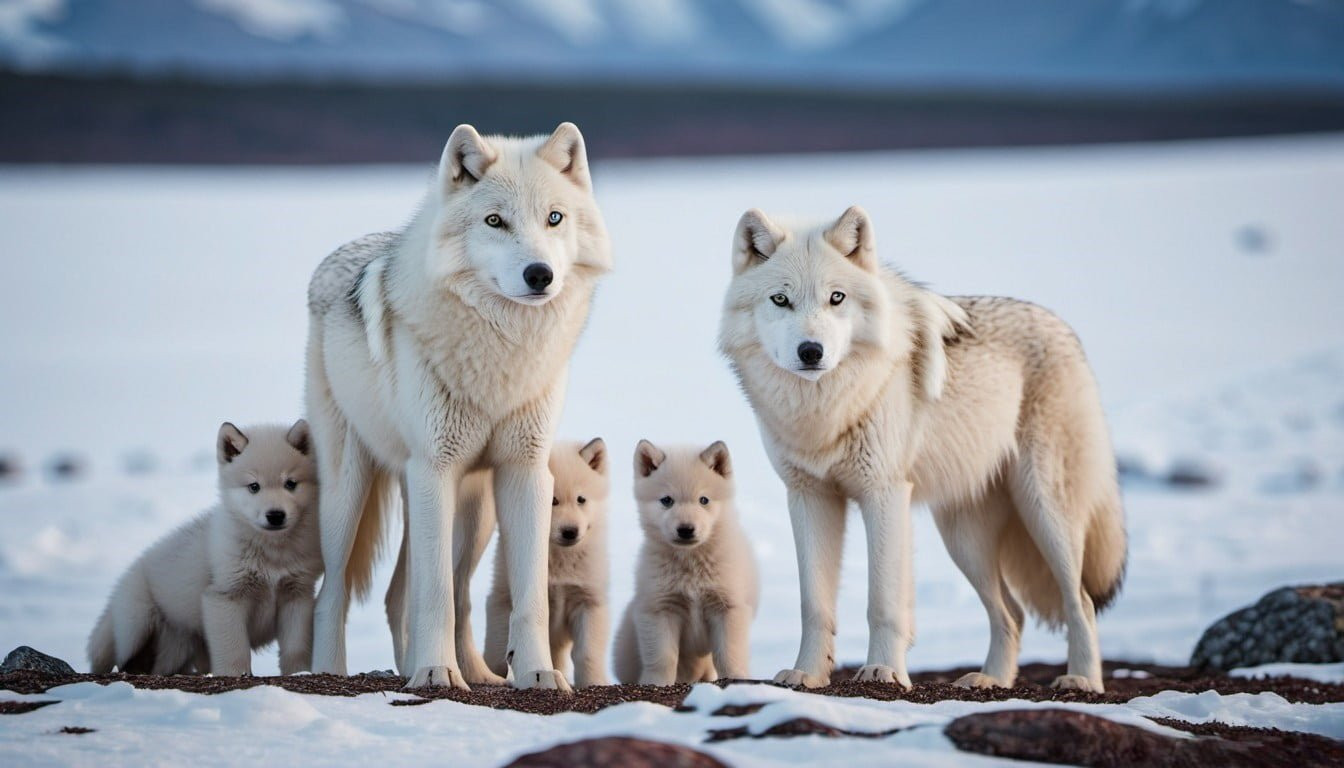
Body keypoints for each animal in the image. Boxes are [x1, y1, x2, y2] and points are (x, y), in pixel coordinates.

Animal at [88, 419, 319, 677]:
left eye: (290, 484)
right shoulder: (223, 598)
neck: (271, 554)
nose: (276, 515)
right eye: (254, 486)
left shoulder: (297, 596)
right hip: (136, 629)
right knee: (123, 661)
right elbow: (234, 653)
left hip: (177, 647)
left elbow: (295, 650)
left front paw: (300, 674)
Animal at [305, 121, 610, 688]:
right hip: (350, 491)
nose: (540, 274)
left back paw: (476, 674)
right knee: (334, 591)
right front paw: (436, 673)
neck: (502, 352)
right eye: (495, 221)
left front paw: (538, 674)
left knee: (423, 593)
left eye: (554, 217)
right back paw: (332, 672)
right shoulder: (435, 469)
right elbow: (435, 596)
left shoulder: (526, 472)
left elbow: (528, 596)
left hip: (475, 509)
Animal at [615, 438, 763, 685]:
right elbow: (662, 658)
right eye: (667, 500)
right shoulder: (659, 610)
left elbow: (728, 654)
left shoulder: (728, 607)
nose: (685, 529)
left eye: (703, 500)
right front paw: (656, 684)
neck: (692, 565)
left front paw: (736, 678)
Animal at [720, 207, 1128, 694]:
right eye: (780, 300)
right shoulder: (809, 497)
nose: (811, 351)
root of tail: (1066, 330)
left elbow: (883, 601)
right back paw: (989, 680)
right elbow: (814, 603)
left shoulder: (884, 494)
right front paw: (807, 674)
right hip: (963, 538)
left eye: (836, 298)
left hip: (1045, 511)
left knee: (1080, 601)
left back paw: (1082, 680)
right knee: (1012, 613)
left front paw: (883, 670)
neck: (825, 412)